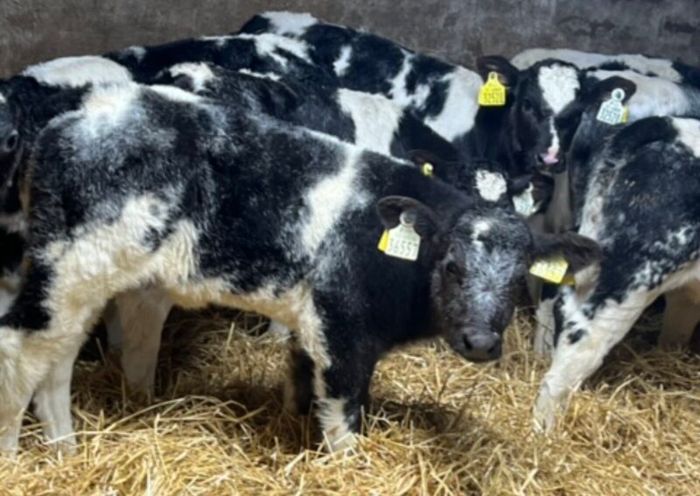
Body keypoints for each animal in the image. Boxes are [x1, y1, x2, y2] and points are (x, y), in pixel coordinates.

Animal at [0, 80, 599, 453]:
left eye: (518, 279)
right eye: (452, 266)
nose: (480, 341)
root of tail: (73, 119)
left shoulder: (309, 325)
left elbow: (298, 383)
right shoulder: (343, 330)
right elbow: (343, 416)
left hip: (84, 275)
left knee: (57, 360)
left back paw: (66, 450)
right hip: (70, 267)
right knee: (21, 348)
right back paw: (17, 452)